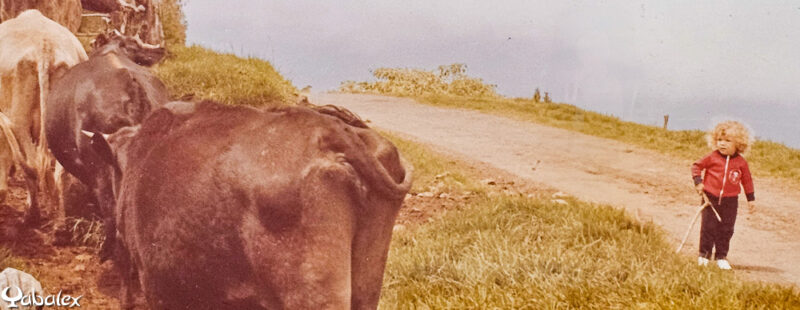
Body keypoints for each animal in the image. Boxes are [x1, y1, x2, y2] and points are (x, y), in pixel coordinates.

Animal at [0, 9, 87, 223]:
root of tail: (45, 48)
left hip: (19, 120)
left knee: (31, 165)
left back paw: (31, 214)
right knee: (61, 171)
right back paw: (60, 224)